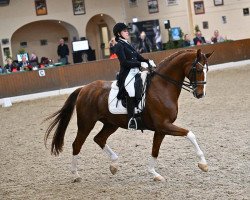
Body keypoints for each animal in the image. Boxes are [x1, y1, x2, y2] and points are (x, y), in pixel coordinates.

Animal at [45, 49, 213, 182]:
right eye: (198, 69)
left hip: (111, 124)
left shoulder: (161, 129)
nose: (200, 94)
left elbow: (155, 150)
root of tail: (84, 88)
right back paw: (75, 175)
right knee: (77, 144)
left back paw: (114, 164)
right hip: (86, 123)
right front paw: (203, 164)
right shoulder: (164, 125)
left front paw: (154, 174)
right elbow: (190, 134)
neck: (162, 87)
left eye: (207, 70)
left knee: (99, 139)